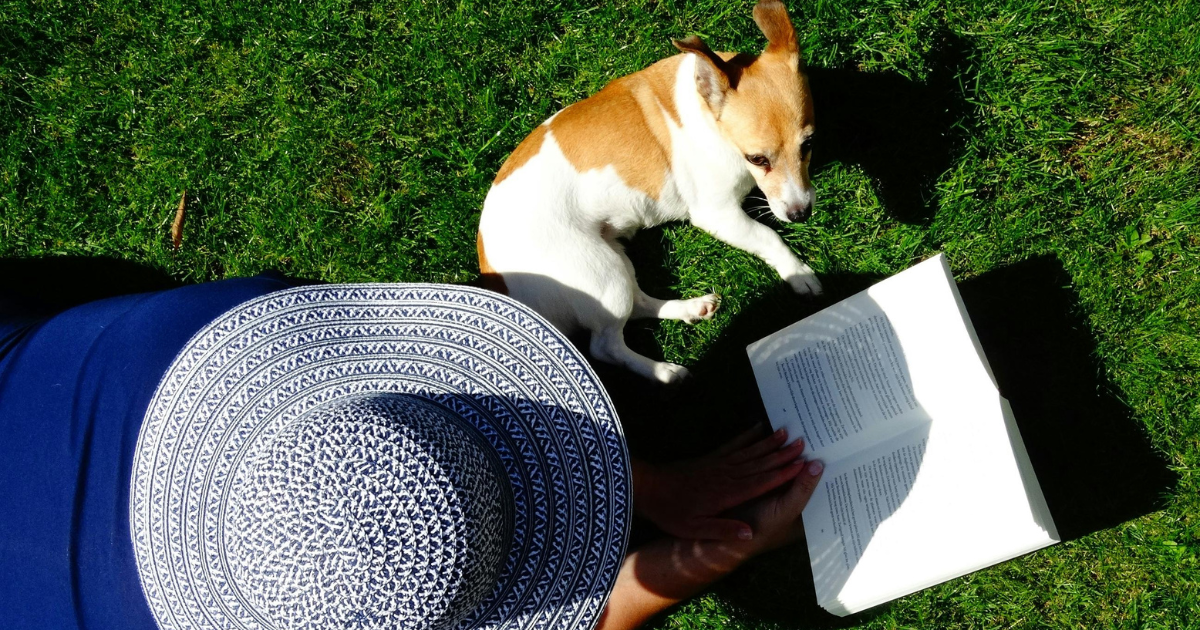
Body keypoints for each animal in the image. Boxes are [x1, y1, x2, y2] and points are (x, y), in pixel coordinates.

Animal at [477, 1, 825, 384]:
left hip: (613, 259)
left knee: (638, 305)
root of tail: (497, 280)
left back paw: (691, 307)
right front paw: (798, 273)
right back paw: (664, 371)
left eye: (809, 144)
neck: (707, 111)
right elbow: (768, 236)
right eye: (757, 159)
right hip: (599, 272)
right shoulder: (718, 215)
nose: (801, 213)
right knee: (605, 346)